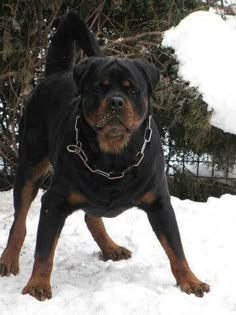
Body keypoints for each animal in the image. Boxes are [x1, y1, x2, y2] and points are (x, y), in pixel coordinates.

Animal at [0, 11, 210, 302]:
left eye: (132, 90)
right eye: (99, 88)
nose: (116, 101)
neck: (113, 157)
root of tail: (57, 73)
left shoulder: (160, 202)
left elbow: (176, 248)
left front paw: (190, 281)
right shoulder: (53, 201)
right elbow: (44, 250)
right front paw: (37, 285)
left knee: (91, 216)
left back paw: (110, 247)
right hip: (30, 165)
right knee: (19, 221)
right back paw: (8, 259)